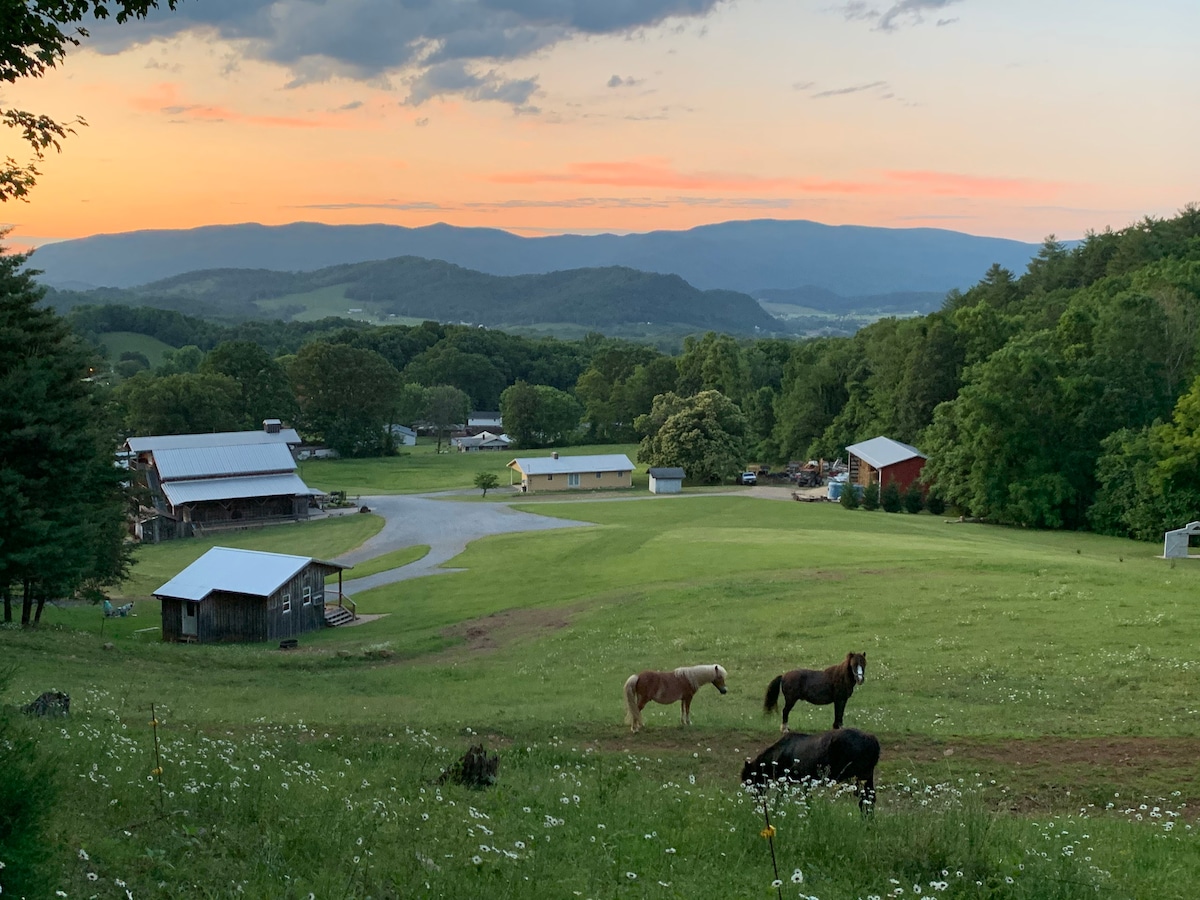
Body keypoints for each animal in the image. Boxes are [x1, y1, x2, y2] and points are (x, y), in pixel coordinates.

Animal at [734, 729, 878, 816]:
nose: (755, 801)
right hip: (867, 778)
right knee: (869, 799)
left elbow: (779, 799)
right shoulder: (806, 782)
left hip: (858, 778)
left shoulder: (785, 782)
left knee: (864, 800)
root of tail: (871, 739)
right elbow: (807, 799)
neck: (779, 753)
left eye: (750, 780)